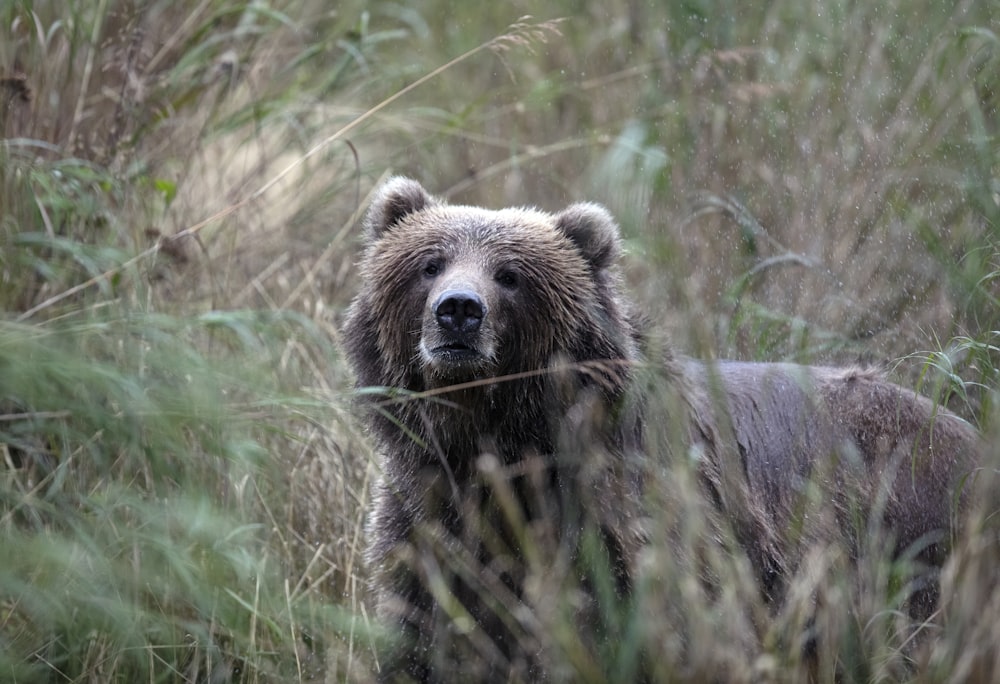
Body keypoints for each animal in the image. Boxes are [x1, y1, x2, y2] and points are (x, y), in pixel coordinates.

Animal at [342, 178, 976, 684]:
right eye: (429, 263)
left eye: (510, 275)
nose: (458, 310)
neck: (499, 438)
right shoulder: (430, 516)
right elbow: (433, 626)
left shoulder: (631, 517)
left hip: (909, 532)